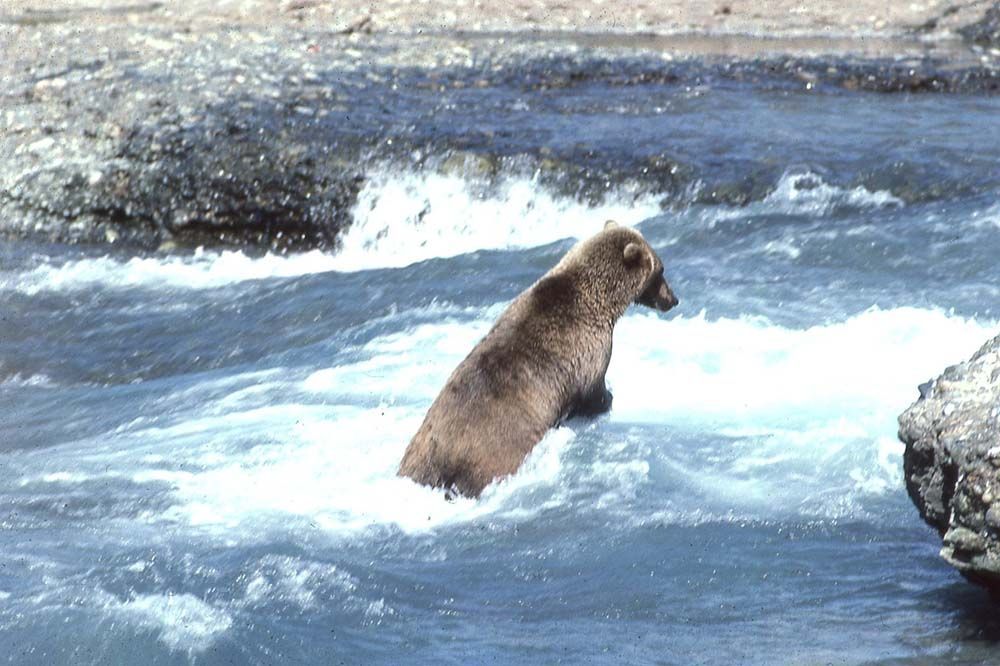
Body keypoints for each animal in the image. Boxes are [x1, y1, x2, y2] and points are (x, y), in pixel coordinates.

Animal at [397, 221, 678, 498]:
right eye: (660, 270)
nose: (673, 299)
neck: (602, 301)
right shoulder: (588, 350)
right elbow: (592, 389)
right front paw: (607, 398)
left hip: (419, 455)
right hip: (494, 451)